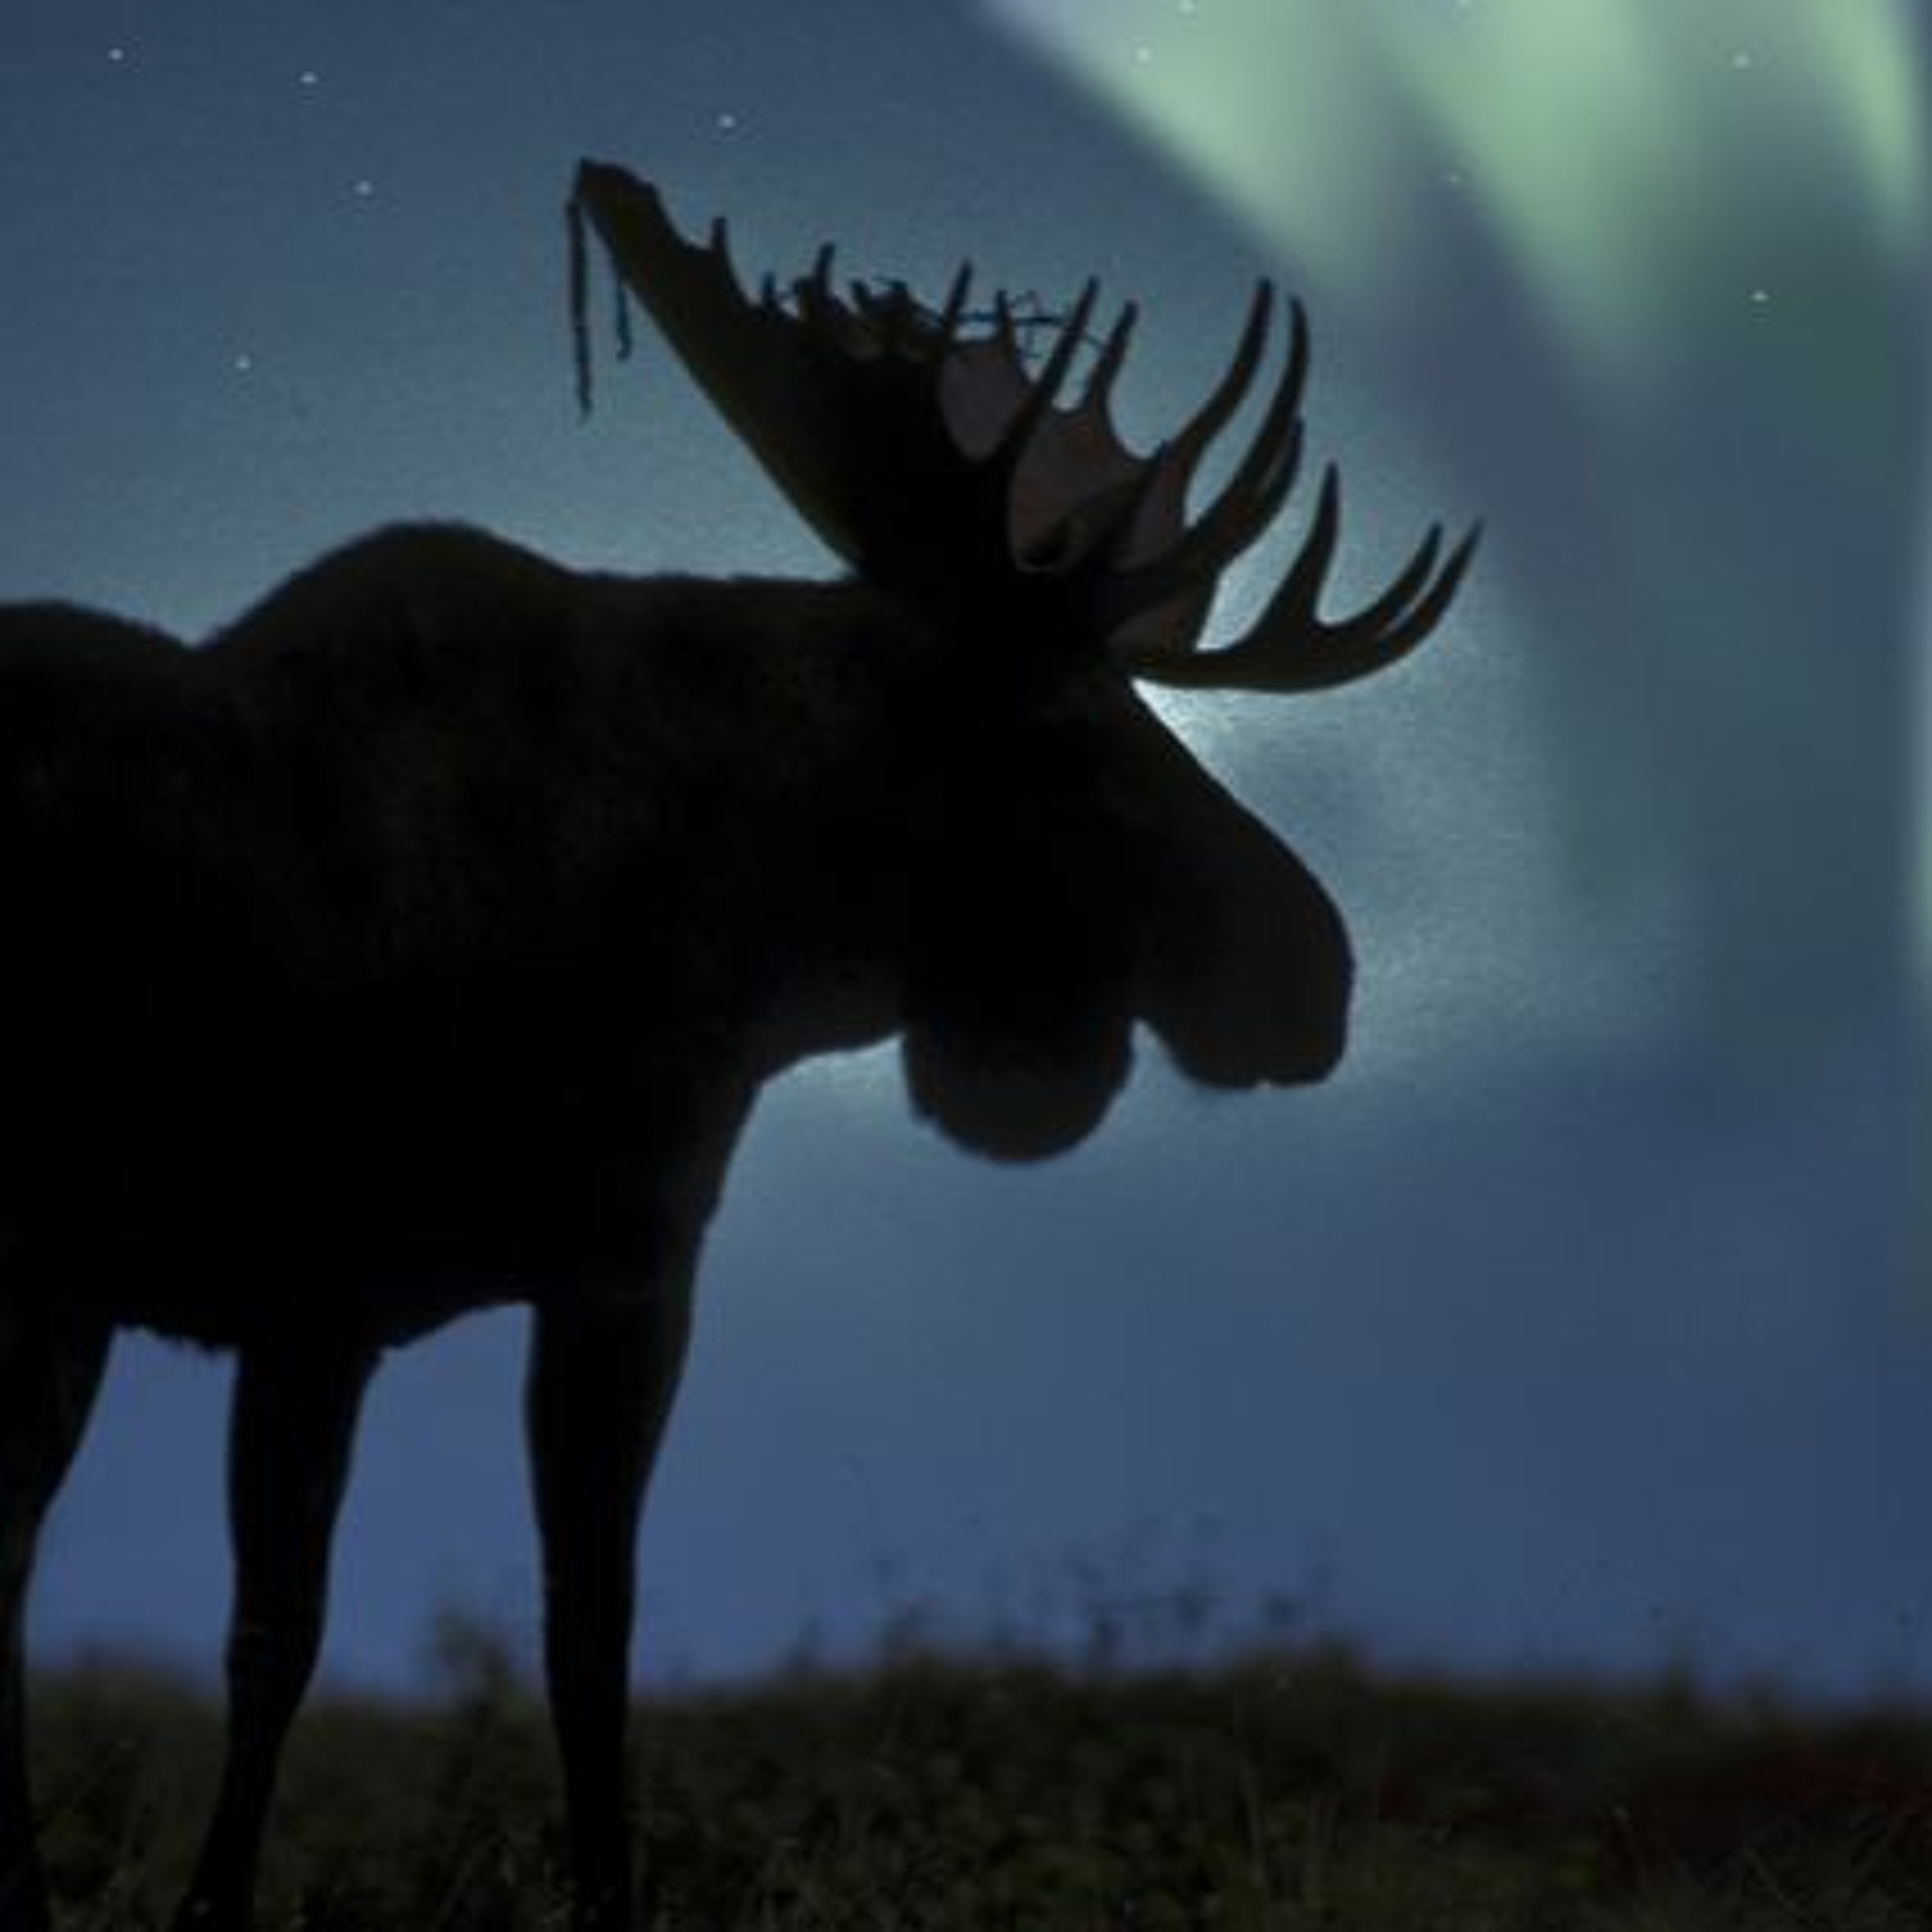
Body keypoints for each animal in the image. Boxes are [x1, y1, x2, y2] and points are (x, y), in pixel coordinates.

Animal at [0, 160, 1476, 1930]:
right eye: (1069, 729)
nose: (1317, 976)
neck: (718, 919)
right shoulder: (314, 1290)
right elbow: (276, 1642)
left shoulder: (627, 1271)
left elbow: (592, 1642)